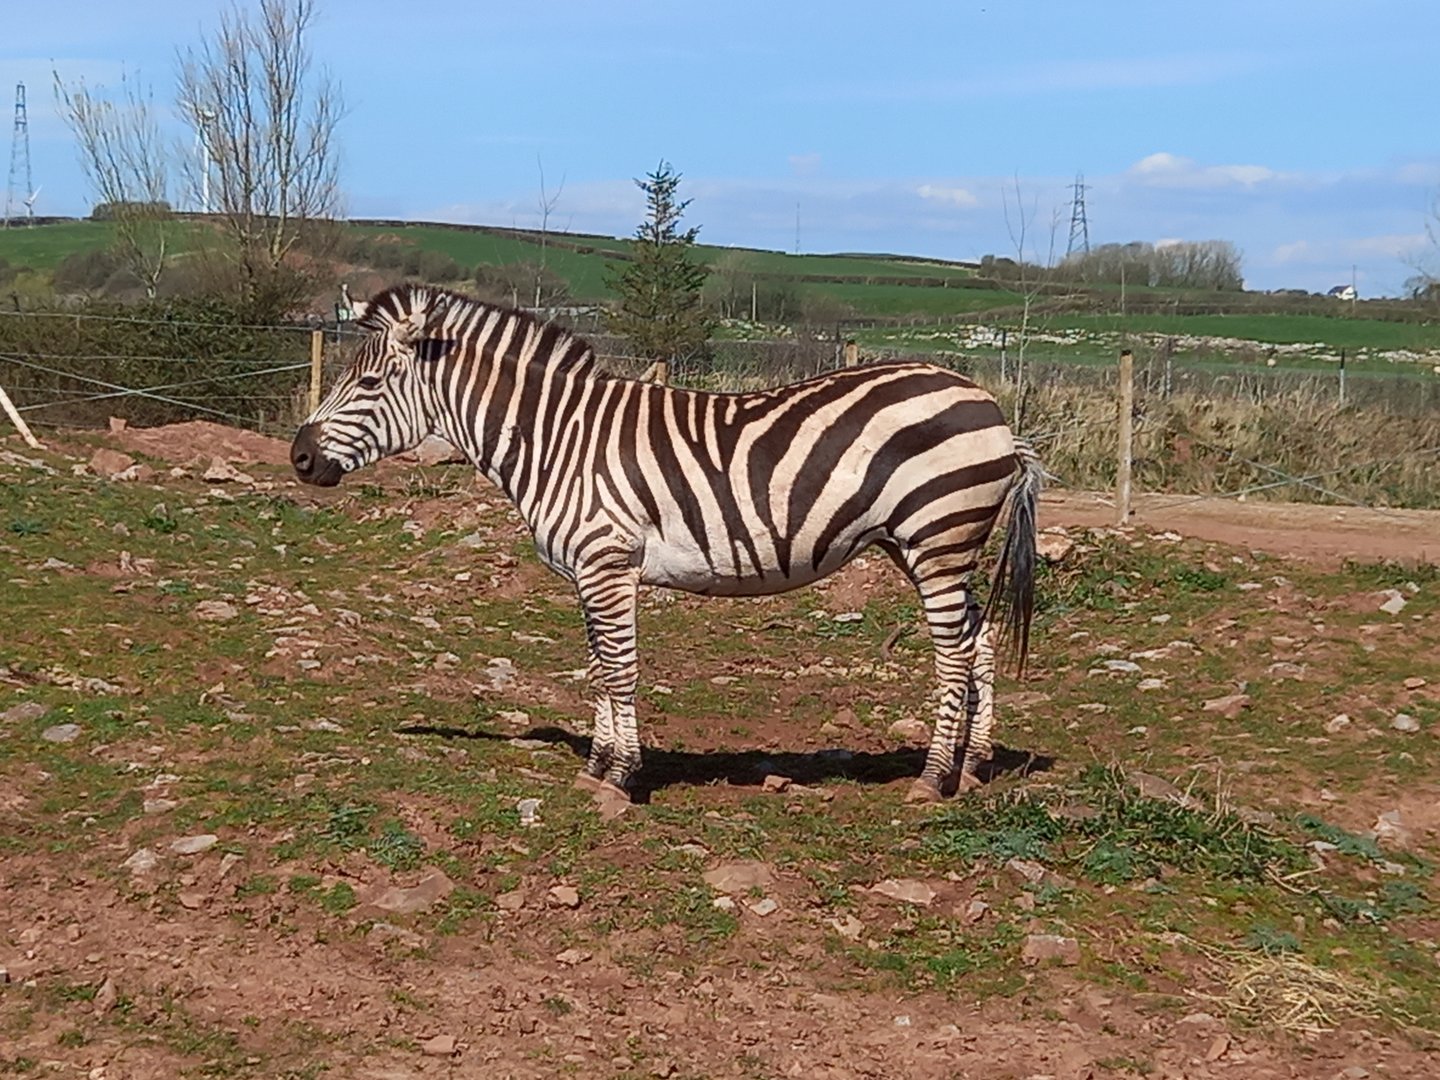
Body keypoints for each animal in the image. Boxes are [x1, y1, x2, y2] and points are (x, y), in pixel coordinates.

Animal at [291, 285, 1042, 804]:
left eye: (367, 382)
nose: (299, 458)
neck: (556, 440)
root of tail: (986, 402)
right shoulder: (589, 571)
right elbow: (599, 667)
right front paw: (597, 767)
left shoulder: (606, 560)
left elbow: (619, 669)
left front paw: (621, 778)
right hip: (924, 547)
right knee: (977, 640)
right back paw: (975, 767)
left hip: (938, 538)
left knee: (953, 654)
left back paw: (933, 779)